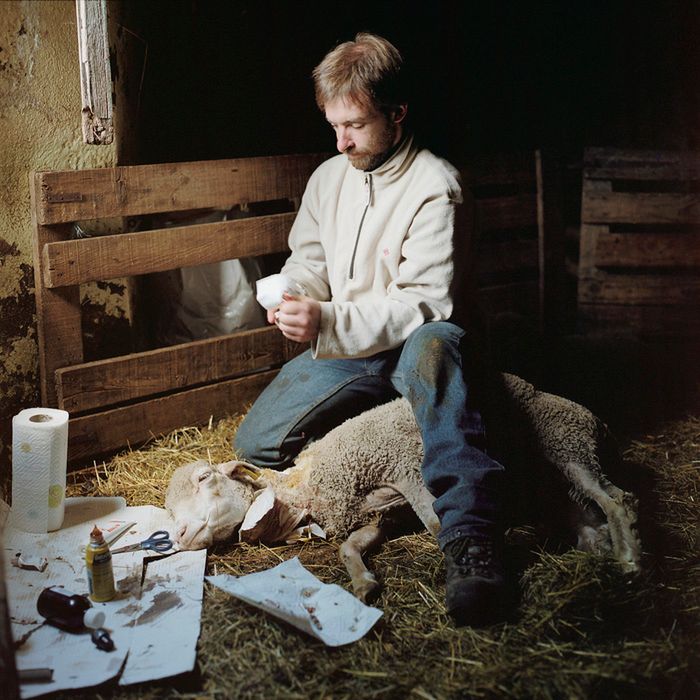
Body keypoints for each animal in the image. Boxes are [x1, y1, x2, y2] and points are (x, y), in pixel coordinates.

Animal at [167, 372, 644, 600]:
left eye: (204, 478)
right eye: (168, 507)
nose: (178, 534)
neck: (307, 487)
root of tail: (594, 419)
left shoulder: (407, 469)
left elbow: (436, 527)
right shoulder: (380, 512)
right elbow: (350, 546)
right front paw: (363, 583)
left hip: (567, 445)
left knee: (618, 499)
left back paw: (630, 559)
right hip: (549, 478)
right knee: (588, 518)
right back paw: (599, 544)